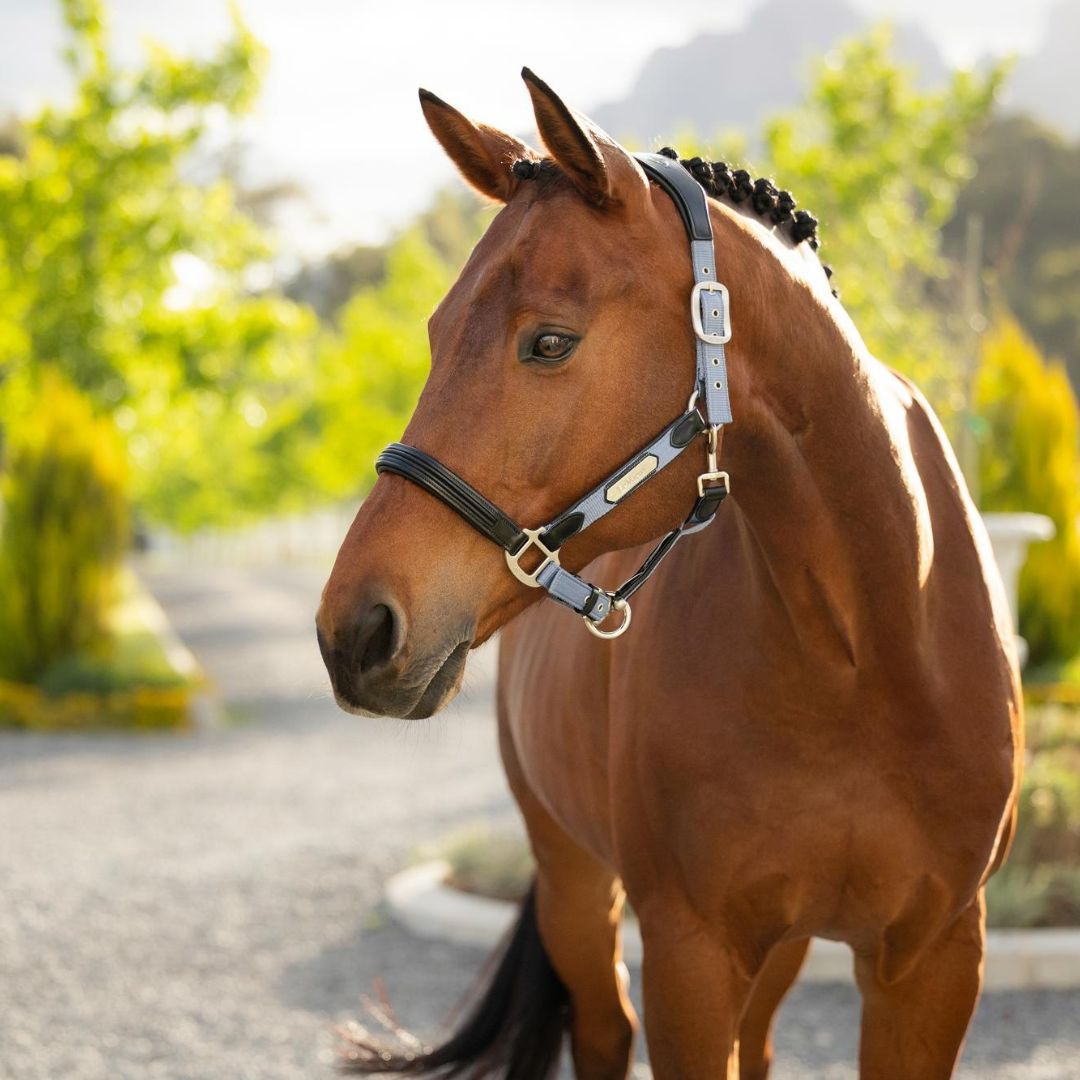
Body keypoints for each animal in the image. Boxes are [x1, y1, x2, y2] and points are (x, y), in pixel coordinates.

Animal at [315, 68, 1022, 1079]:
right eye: (437, 331)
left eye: (550, 341)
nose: (356, 628)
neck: (865, 655)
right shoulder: (688, 954)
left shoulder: (933, 960)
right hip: (573, 878)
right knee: (602, 1027)